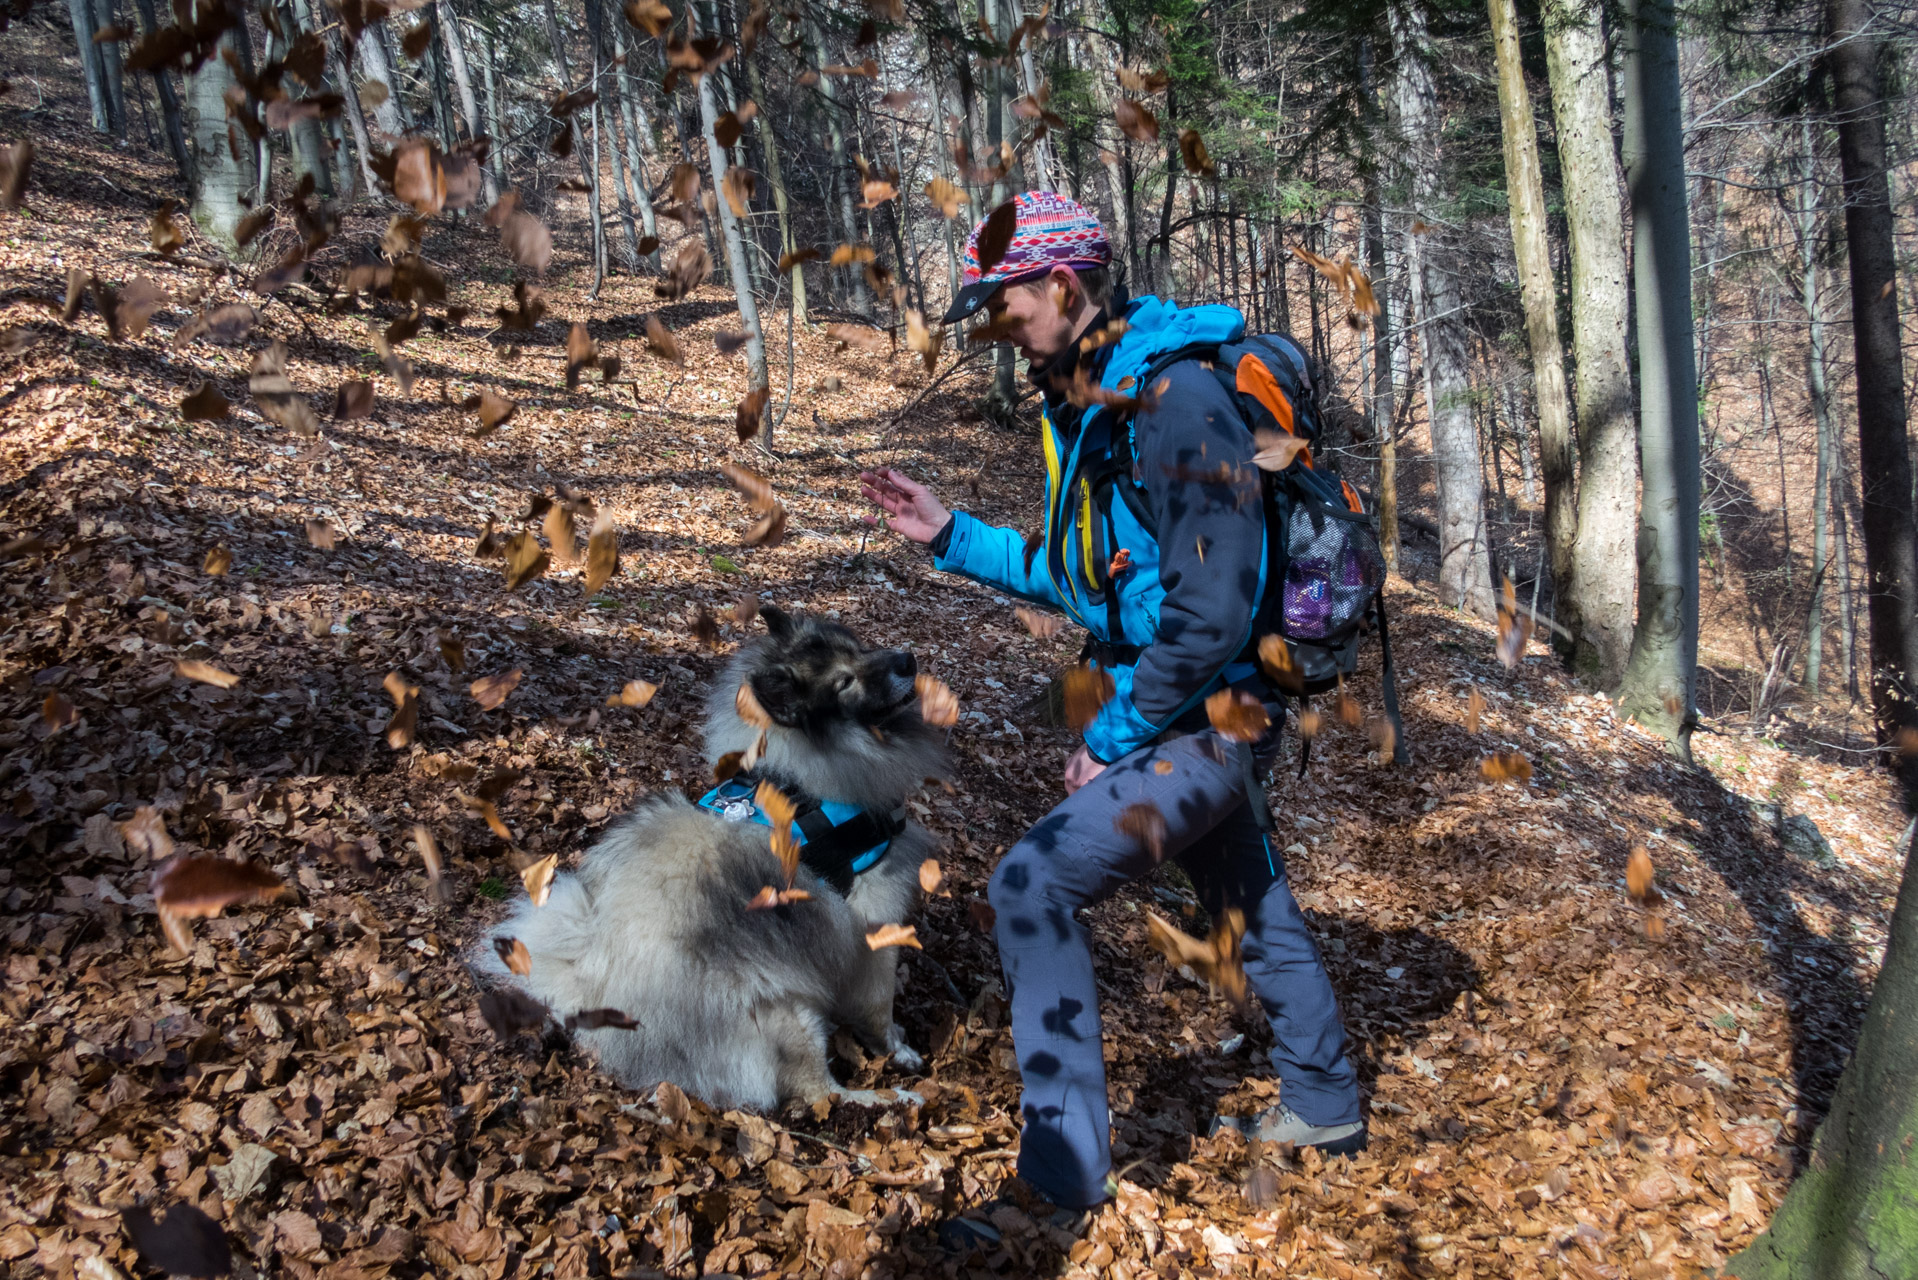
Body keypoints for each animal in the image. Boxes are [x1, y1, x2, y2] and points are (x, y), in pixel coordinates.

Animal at [479, 606, 943, 1105]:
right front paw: (898, 1050)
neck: (802, 776)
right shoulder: (873, 926)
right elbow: (879, 1006)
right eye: (844, 682)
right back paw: (890, 1100)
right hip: (785, 1010)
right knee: (822, 1093)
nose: (907, 661)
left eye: (857, 648)